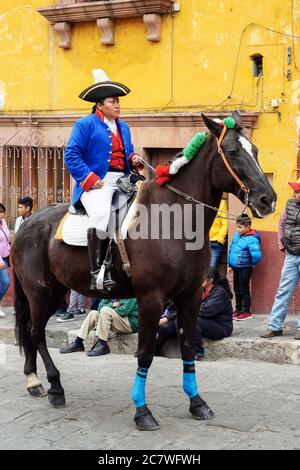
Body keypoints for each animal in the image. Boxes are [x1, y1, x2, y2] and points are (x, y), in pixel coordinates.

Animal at [12, 112, 276, 432]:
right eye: (233, 151)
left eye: (256, 150)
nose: (268, 199)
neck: (175, 218)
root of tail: (26, 224)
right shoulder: (151, 298)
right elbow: (145, 353)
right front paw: (142, 411)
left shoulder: (190, 296)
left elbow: (188, 346)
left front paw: (197, 402)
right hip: (39, 292)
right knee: (35, 331)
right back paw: (53, 385)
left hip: (56, 291)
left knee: (31, 330)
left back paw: (34, 380)